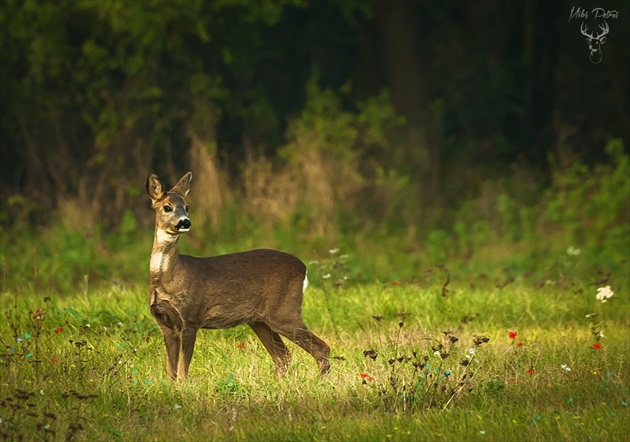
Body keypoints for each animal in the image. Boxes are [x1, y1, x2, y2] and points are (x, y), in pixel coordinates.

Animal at [146, 173, 334, 380]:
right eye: (167, 207)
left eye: (187, 206)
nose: (185, 222)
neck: (168, 279)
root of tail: (303, 268)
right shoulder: (165, 325)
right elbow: (171, 372)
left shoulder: (190, 317)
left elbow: (182, 371)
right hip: (260, 320)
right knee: (283, 355)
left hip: (284, 310)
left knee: (320, 347)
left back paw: (320, 382)